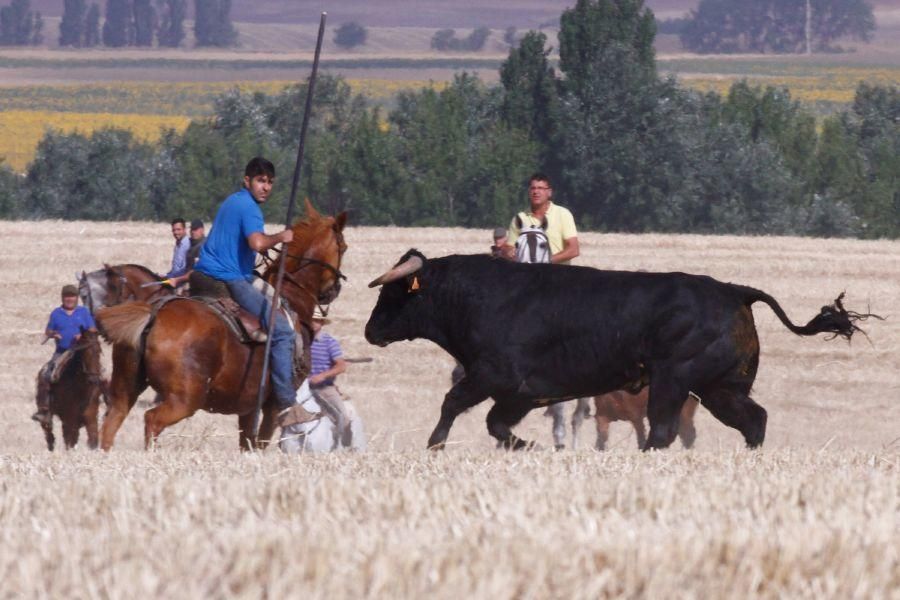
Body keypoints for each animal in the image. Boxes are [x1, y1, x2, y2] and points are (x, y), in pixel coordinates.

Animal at [364, 248, 872, 450]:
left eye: (394, 293)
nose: (370, 331)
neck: (474, 296)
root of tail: (734, 291)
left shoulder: (495, 376)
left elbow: (454, 403)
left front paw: (435, 444)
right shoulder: (522, 394)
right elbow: (496, 424)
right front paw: (527, 446)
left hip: (674, 380)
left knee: (664, 431)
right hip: (719, 388)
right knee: (753, 419)